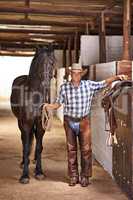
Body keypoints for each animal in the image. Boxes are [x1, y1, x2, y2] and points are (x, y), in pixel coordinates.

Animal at [10, 46, 55, 184]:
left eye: (52, 63)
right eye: (39, 63)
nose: (45, 84)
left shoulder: (41, 124)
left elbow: (39, 147)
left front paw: (39, 172)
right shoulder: (26, 124)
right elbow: (25, 146)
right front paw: (24, 176)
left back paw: (33, 160)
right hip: (20, 122)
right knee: (25, 140)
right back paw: (24, 161)